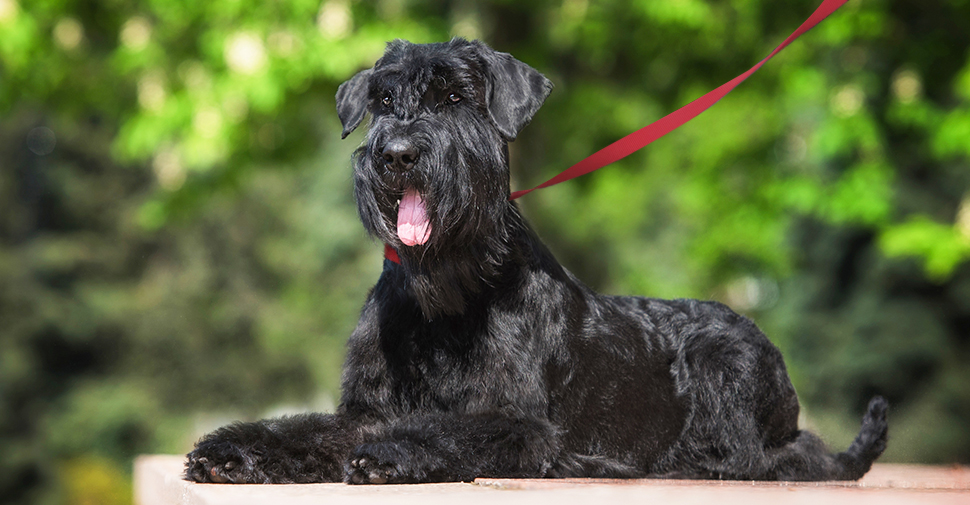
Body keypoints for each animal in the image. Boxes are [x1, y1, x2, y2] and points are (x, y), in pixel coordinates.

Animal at [182, 39, 884, 484]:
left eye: (457, 99)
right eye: (382, 101)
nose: (399, 154)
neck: (448, 296)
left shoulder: (515, 421)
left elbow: (447, 430)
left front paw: (393, 456)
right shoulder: (368, 411)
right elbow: (308, 430)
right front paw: (232, 450)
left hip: (727, 362)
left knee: (785, 459)